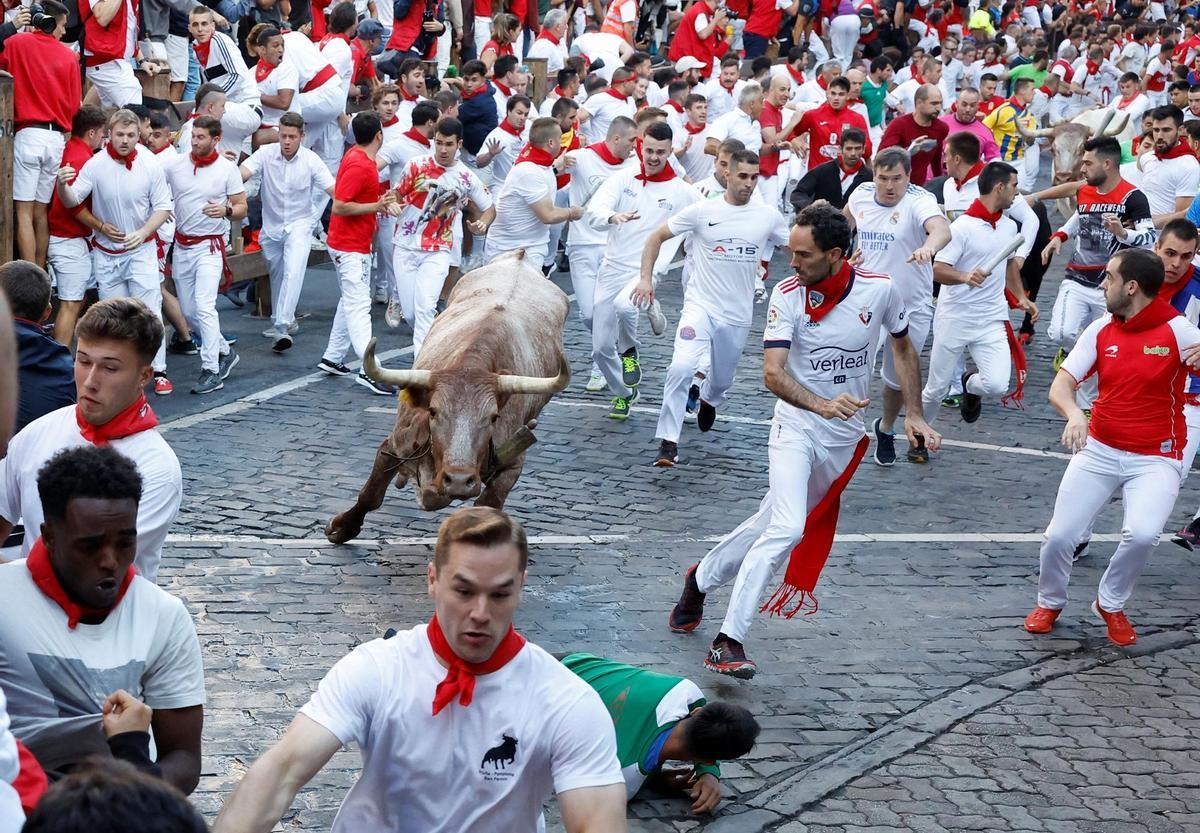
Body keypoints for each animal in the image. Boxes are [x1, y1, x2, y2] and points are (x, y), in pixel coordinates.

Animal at [328, 250, 571, 544]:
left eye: (493, 417)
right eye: (433, 411)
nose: (457, 480)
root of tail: (519, 257)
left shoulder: (513, 464)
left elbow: (487, 508)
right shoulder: (395, 444)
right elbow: (371, 494)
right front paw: (343, 526)